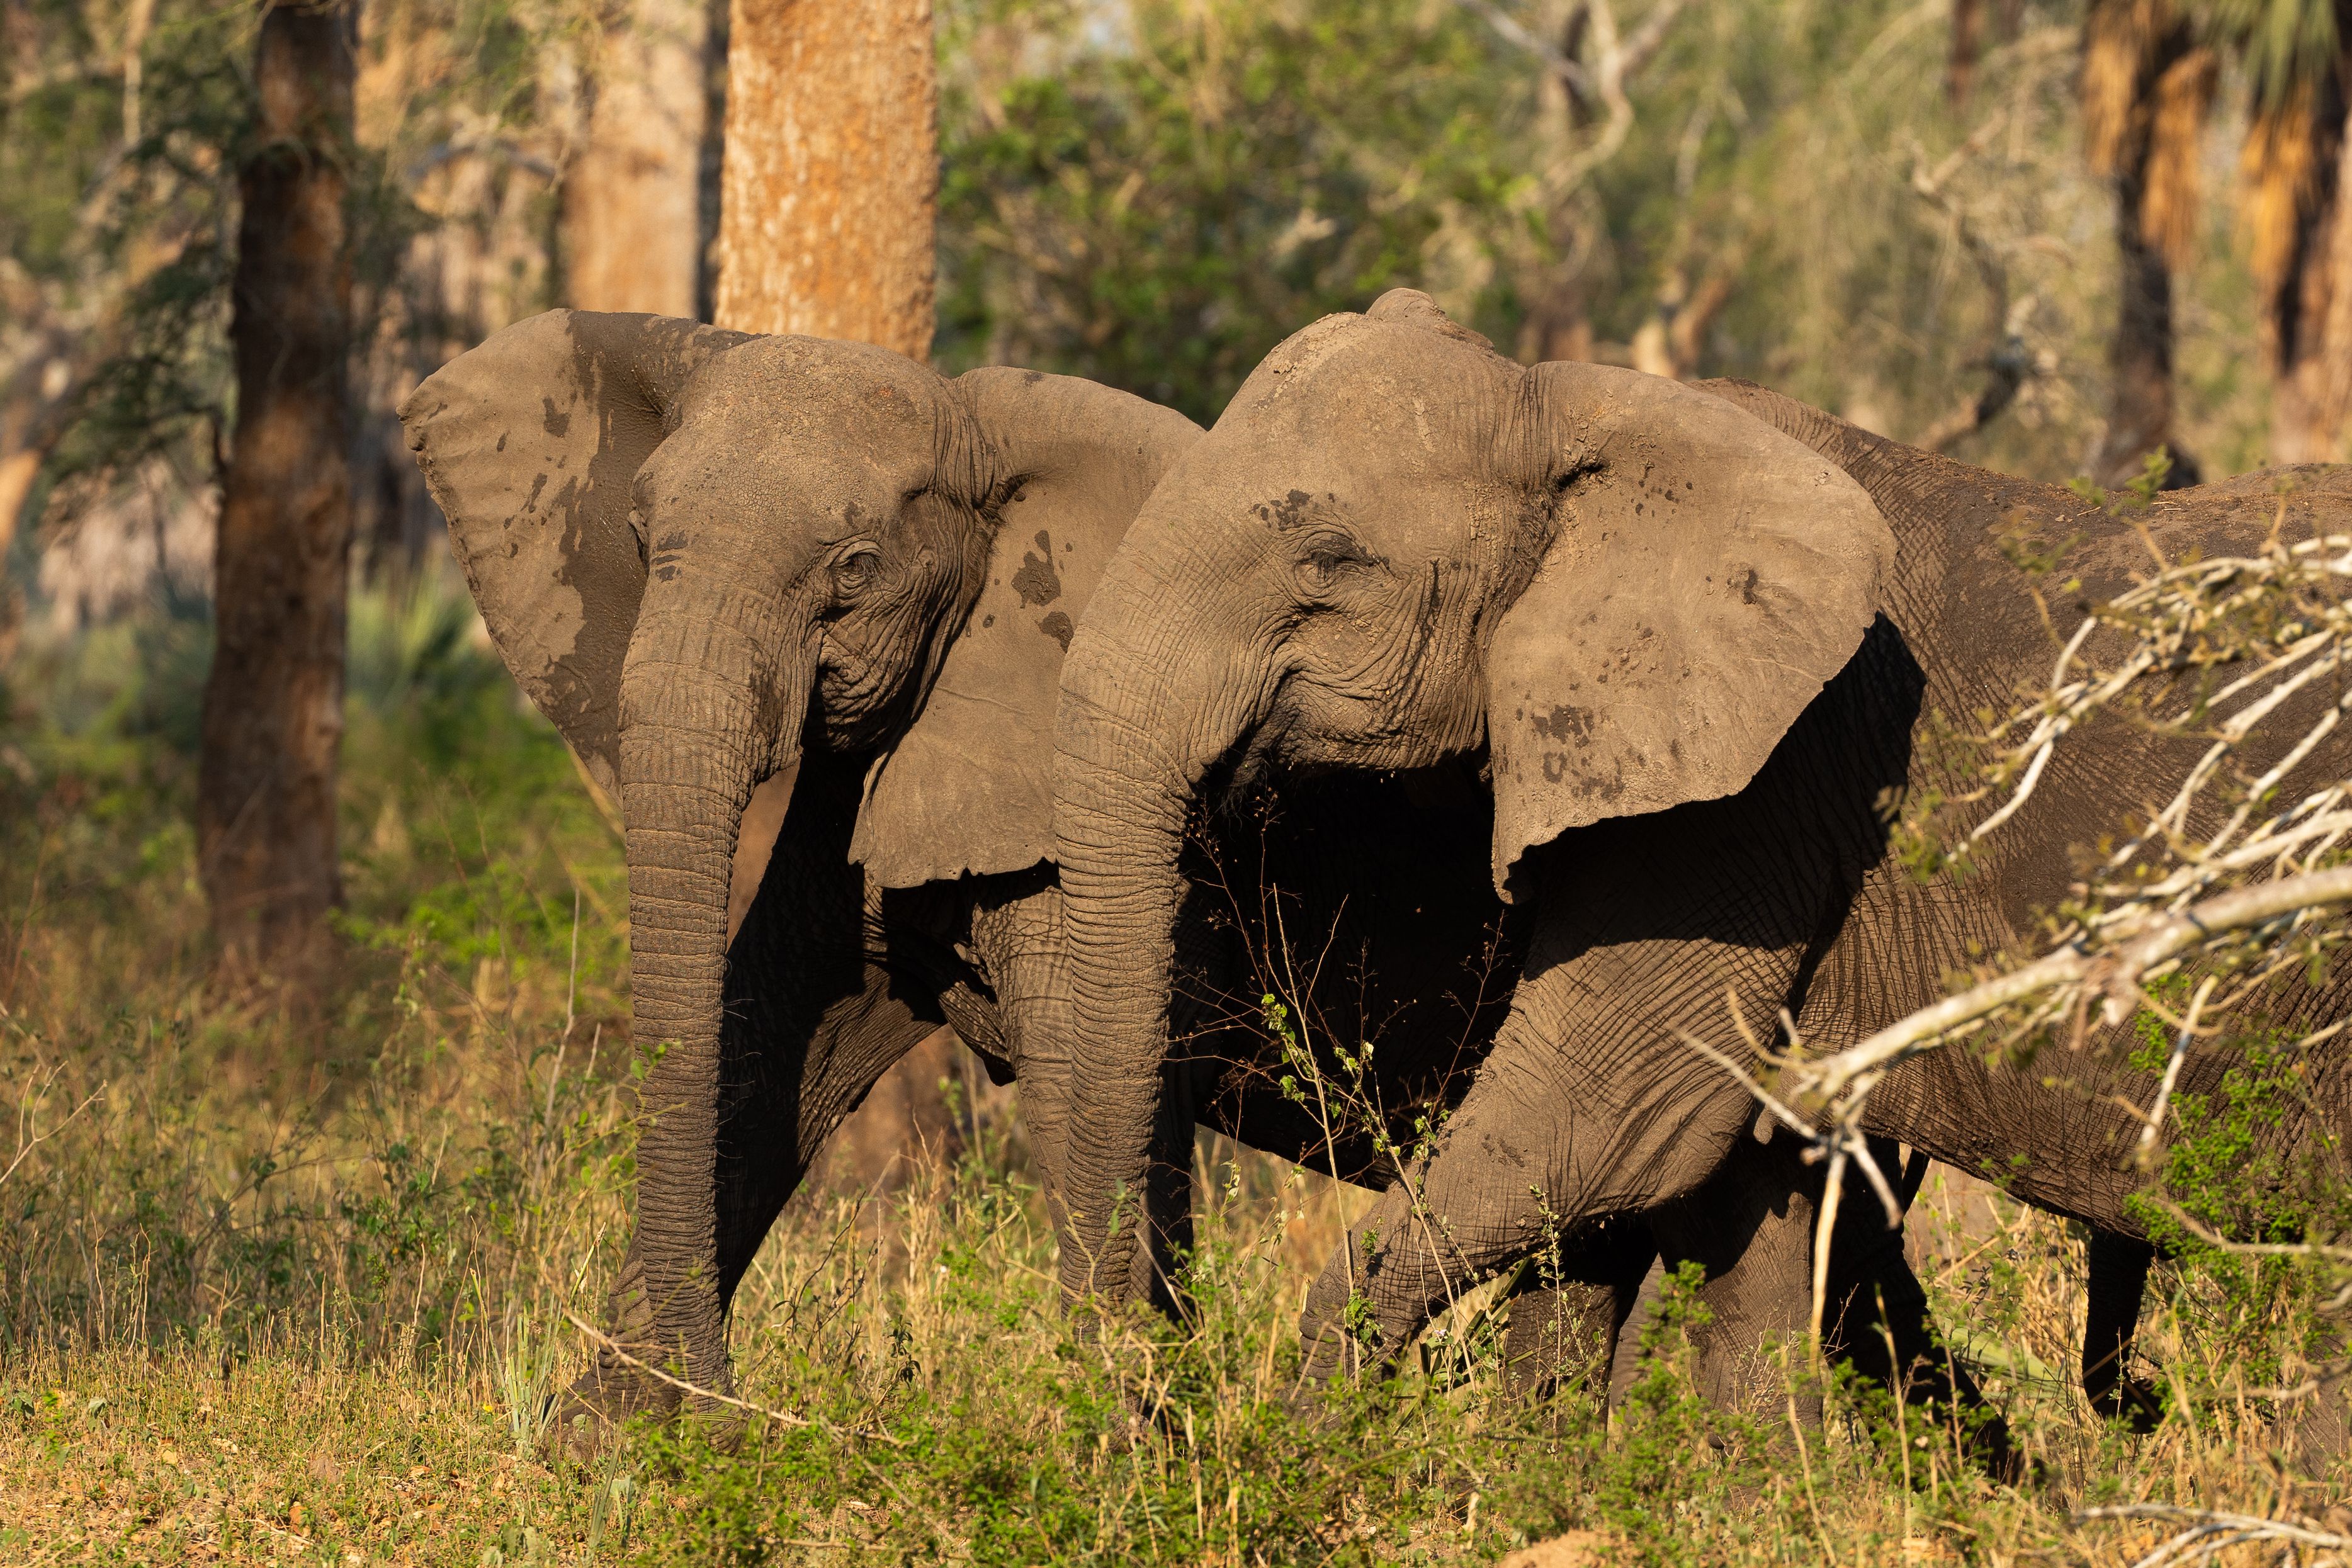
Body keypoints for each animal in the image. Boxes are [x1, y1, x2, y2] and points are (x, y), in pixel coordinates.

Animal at [1045, 287, 2352, 1430]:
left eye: (1329, 563)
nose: (1143, 1411)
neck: (1574, 411)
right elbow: (1716, 1179)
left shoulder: (1765, 783)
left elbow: (1599, 1118)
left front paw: (1309, 1459)